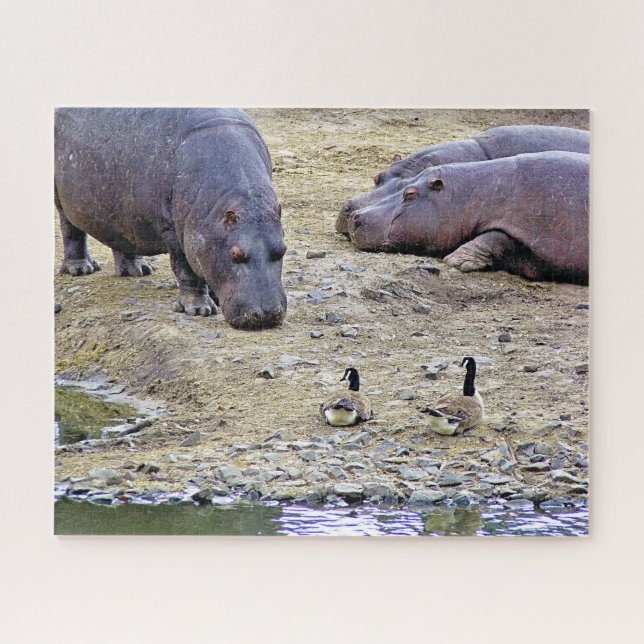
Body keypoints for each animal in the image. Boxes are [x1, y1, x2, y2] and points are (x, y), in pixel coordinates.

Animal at [55, 108, 287, 330]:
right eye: (236, 254)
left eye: (282, 250)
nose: (267, 315)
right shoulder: (175, 233)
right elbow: (185, 270)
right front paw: (199, 310)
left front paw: (213, 299)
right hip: (62, 200)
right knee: (71, 232)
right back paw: (82, 269)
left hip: (120, 209)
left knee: (122, 236)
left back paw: (138, 271)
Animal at [347, 151, 588, 284]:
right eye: (405, 184)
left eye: (410, 195)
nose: (355, 216)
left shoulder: (540, 229)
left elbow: (495, 237)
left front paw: (457, 260)